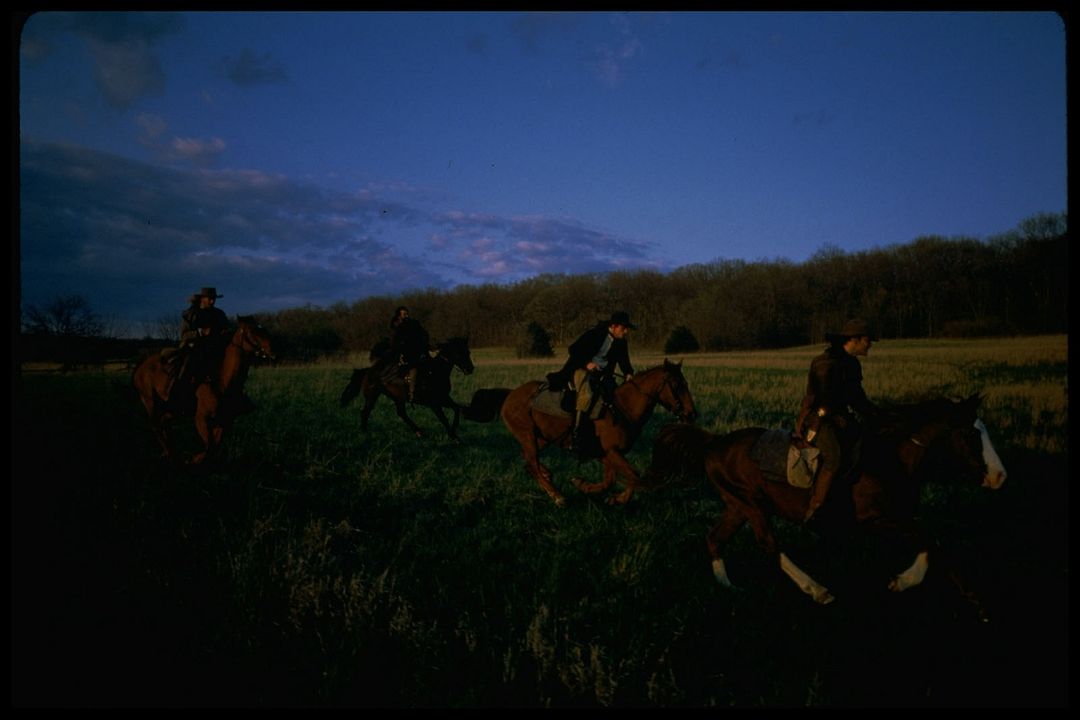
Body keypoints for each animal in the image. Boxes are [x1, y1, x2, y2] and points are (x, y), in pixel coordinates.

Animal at [131, 317, 274, 464]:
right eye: (251, 331)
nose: (272, 348)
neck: (222, 381)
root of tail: (140, 366)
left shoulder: (223, 420)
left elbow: (213, 446)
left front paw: (196, 459)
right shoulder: (201, 418)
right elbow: (209, 446)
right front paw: (194, 459)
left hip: (171, 409)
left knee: (163, 424)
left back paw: (171, 453)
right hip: (150, 402)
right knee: (157, 426)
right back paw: (170, 454)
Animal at [336, 334, 473, 442]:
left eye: (468, 352)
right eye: (459, 352)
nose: (470, 369)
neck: (434, 372)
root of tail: (369, 370)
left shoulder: (443, 399)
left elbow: (456, 409)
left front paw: (454, 433)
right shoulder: (434, 403)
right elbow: (443, 418)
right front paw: (453, 436)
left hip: (397, 398)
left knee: (401, 413)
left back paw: (419, 432)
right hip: (372, 396)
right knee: (365, 412)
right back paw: (364, 432)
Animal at [498, 358, 695, 507]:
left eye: (686, 383)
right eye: (677, 385)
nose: (691, 413)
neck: (622, 408)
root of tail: (511, 394)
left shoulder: (606, 454)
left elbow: (613, 480)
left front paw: (587, 487)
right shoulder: (611, 452)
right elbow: (634, 476)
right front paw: (617, 498)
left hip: (542, 438)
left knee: (528, 460)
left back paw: (548, 477)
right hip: (528, 436)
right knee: (532, 462)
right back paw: (558, 496)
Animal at [639, 395, 1002, 608]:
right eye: (970, 435)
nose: (1000, 476)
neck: (891, 459)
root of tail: (713, 444)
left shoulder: (899, 519)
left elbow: (933, 544)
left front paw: (971, 597)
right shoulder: (878, 519)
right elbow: (930, 544)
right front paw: (904, 581)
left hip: (737, 506)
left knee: (715, 539)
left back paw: (729, 588)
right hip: (752, 506)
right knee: (768, 544)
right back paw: (817, 590)